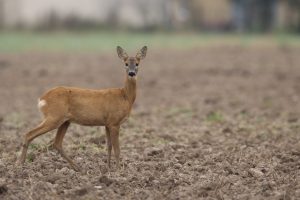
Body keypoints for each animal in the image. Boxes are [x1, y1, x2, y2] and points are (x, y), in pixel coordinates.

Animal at [17, 46, 148, 171]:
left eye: (137, 63)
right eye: (126, 63)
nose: (131, 73)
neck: (124, 96)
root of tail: (42, 98)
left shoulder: (107, 123)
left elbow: (109, 146)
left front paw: (108, 168)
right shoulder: (114, 122)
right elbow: (117, 148)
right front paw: (119, 170)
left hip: (65, 121)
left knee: (57, 143)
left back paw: (77, 168)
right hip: (54, 117)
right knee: (29, 134)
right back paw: (20, 164)